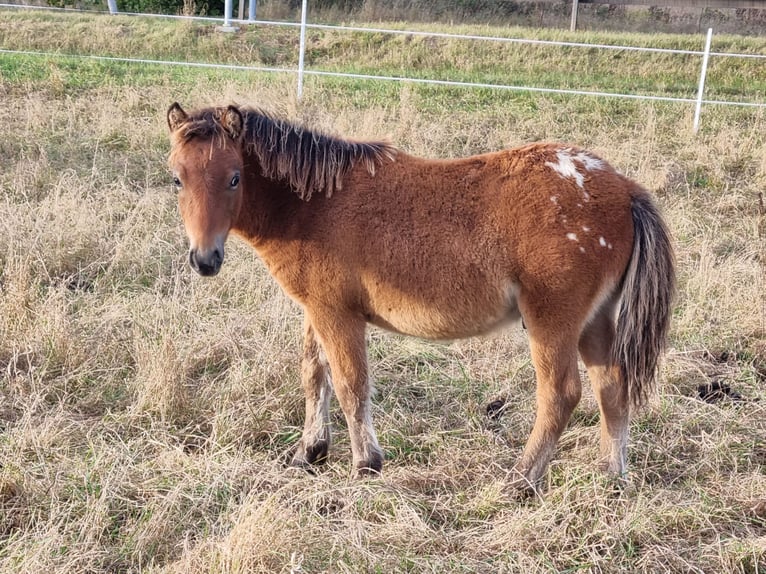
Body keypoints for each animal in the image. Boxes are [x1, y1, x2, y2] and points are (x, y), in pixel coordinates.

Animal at [165, 102, 676, 490]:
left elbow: (350, 384)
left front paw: (365, 463)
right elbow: (314, 375)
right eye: (177, 178)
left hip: (553, 321)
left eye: (234, 177)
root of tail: (622, 188)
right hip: (595, 321)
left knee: (560, 395)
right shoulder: (316, 310)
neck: (313, 205)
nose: (204, 260)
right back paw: (611, 475)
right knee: (611, 386)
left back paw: (520, 480)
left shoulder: (337, 315)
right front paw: (309, 451)